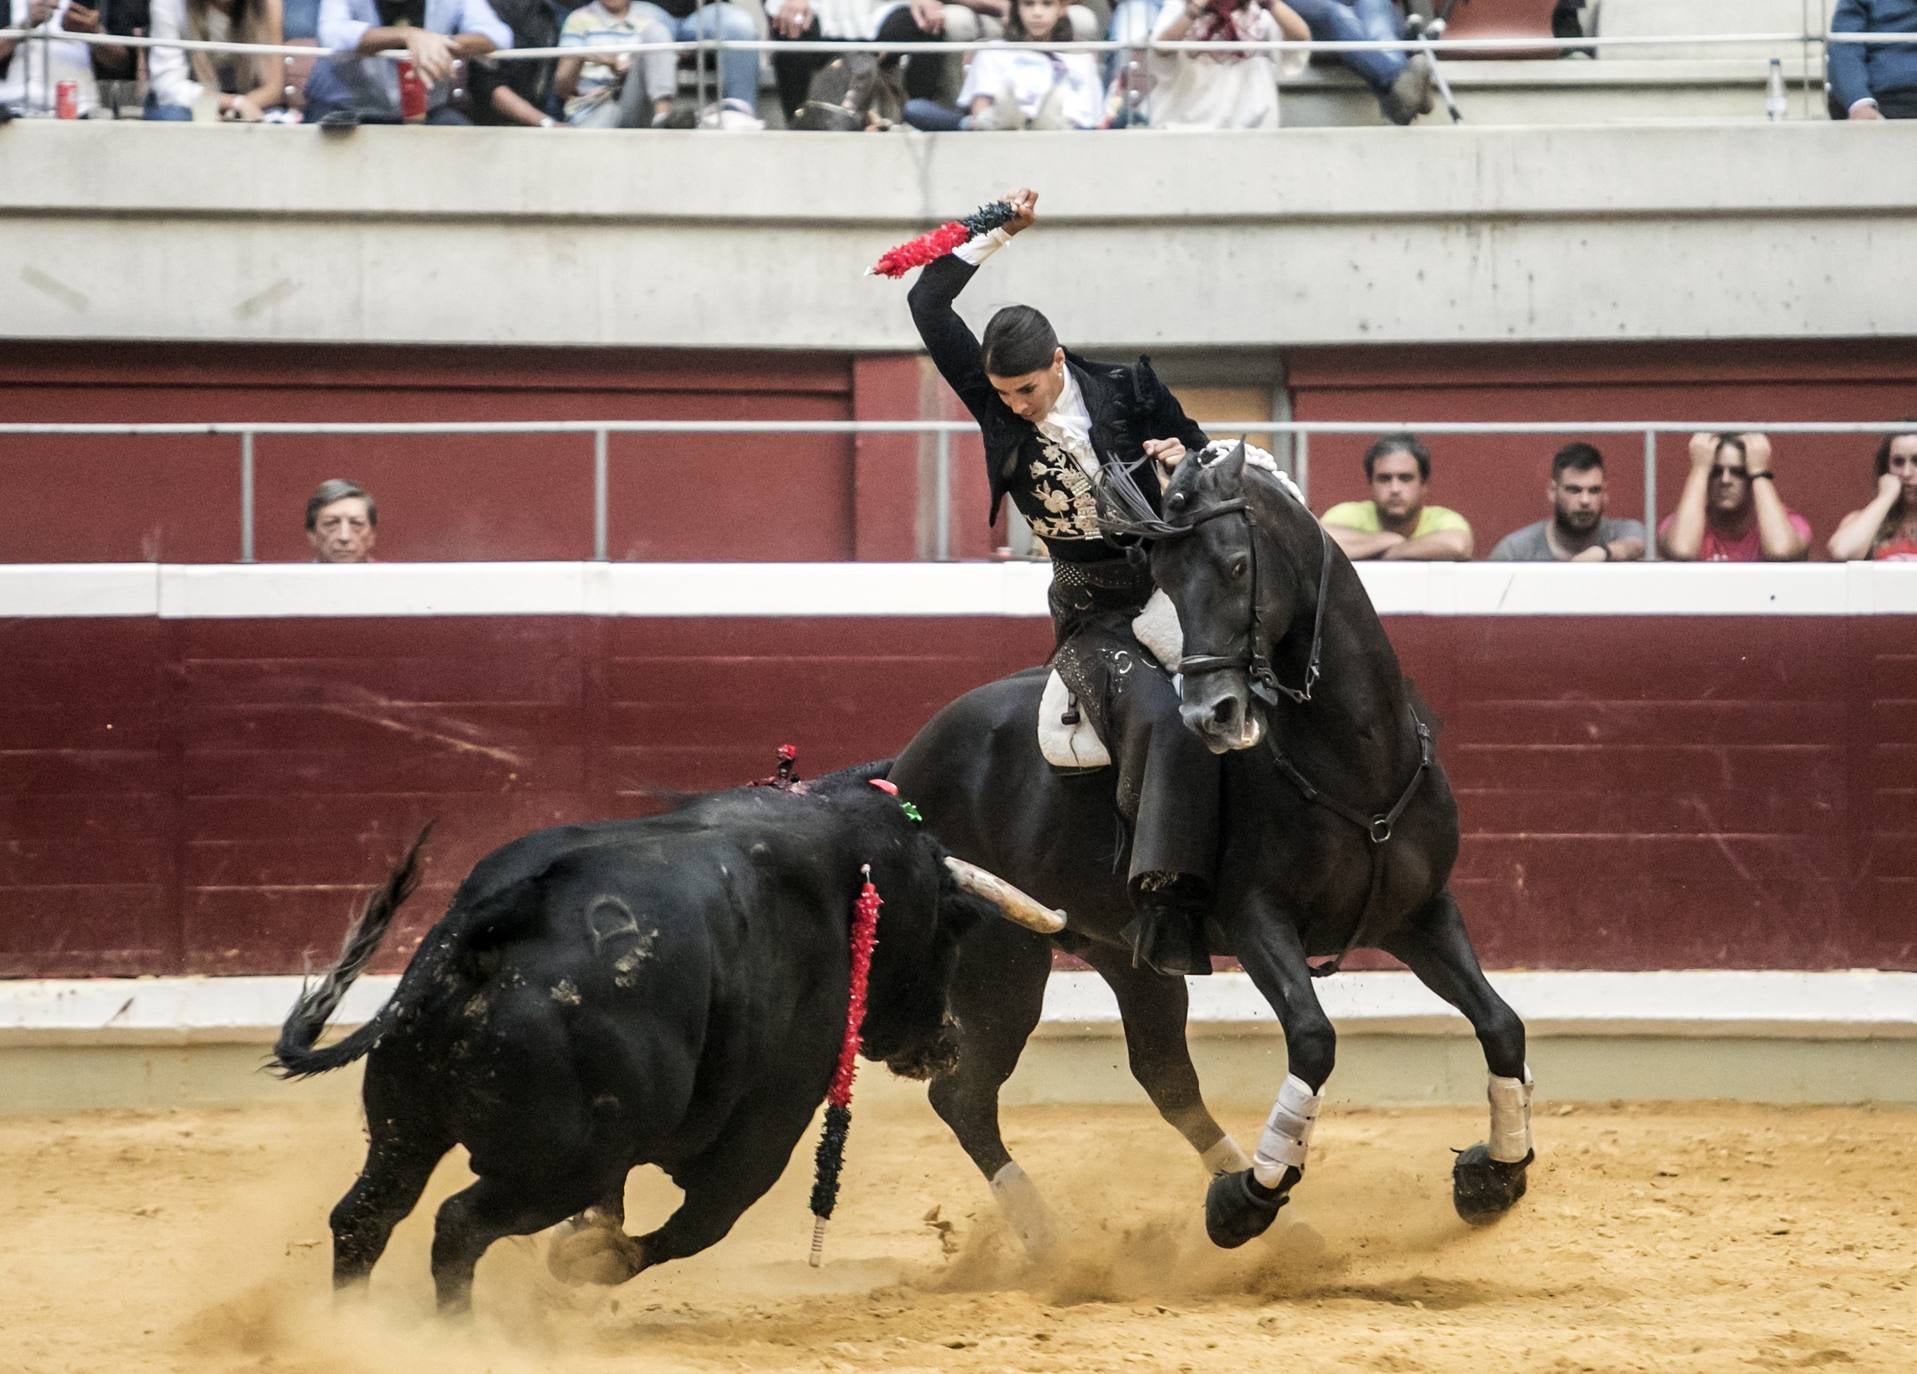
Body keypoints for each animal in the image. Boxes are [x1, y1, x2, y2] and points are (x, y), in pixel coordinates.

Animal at [272, 766, 1035, 1310]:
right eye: (953, 927)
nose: (950, 1043)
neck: (845, 865)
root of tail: (491, 921)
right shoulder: (771, 1121)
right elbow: (702, 1221)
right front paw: (591, 1260)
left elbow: (623, 1216)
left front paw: (585, 1250)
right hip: (560, 1162)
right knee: (458, 1224)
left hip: (404, 1127)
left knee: (365, 1216)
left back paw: (352, 1327)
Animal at [889, 444, 1533, 1249]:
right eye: (1164, 576)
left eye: (1235, 565)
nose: (1210, 714)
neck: (1350, 755)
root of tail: (901, 767)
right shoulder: (1257, 919)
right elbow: (1313, 1038)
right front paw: (1247, 1203)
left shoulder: (1421, 913)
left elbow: (1500, 1023)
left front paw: (1494, 1175)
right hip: (1001, 960)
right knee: (965, 1096)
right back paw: (1051, 1241)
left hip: (1121, 953)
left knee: (1162, 1074)